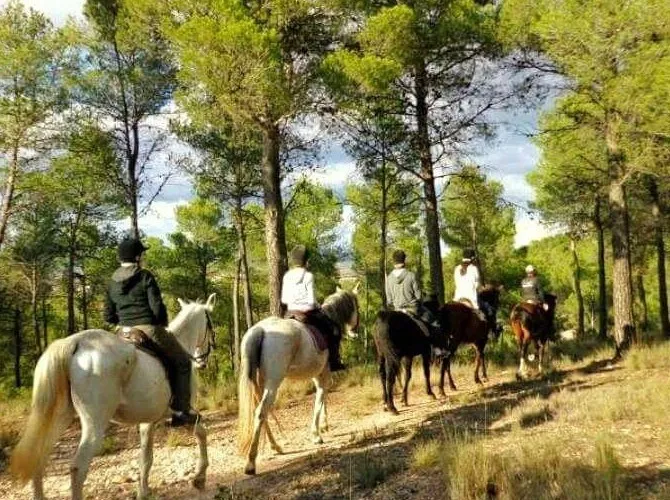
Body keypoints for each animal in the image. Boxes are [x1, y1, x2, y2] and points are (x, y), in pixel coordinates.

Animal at [10, 294, 218, 500]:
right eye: (209, 323)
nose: (202, 362)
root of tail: (75, 343)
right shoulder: (184, 411)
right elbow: (201, 433)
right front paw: (199, 478)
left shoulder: (148, 421)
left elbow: (146, 459)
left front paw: (143, 491)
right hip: (94, 424)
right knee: (78, 468)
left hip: (60, 417)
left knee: (39, 459)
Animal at [237, 287, 360, 476]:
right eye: (356, 306)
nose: (354, 330)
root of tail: (260, 330)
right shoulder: (324, 372)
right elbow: (320, 398)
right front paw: (317, 434)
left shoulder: (318, 374)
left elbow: (322, 396)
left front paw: (323, 426)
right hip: (273, 383)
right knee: (261, 412)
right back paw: (251, 462)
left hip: (259, 382)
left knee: (260, 412)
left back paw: (275, 446)